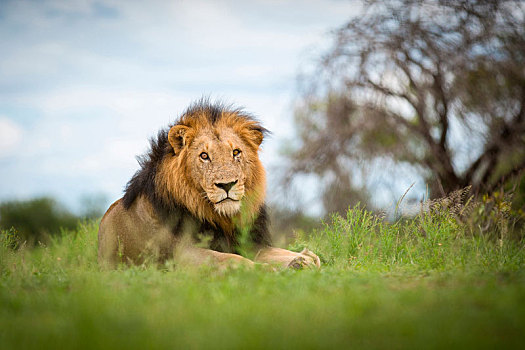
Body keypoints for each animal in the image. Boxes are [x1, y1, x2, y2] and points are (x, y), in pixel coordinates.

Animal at [97, 100, 320, 270]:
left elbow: (291, 254)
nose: (227, 185)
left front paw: (302, 260)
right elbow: (232, 259)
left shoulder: (252, 244)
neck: (224, 221)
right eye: (204, 156)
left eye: (236, 152)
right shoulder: (182, 255)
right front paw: (266, 269)